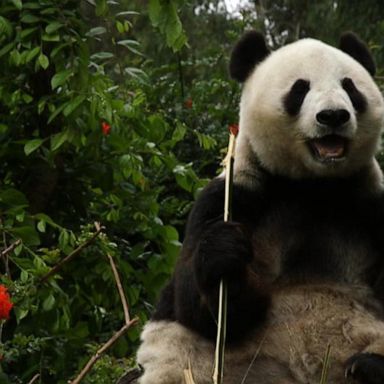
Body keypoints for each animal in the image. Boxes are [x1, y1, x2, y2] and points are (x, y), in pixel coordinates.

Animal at [134, 32, 384, 384]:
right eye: (300, 89)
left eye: (350, 87)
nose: (333, 115)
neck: (313, 185)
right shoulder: (236, 194)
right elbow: (198, 307)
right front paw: (224, 250)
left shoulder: (370, 203)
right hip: (194, 359)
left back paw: (368, 366)